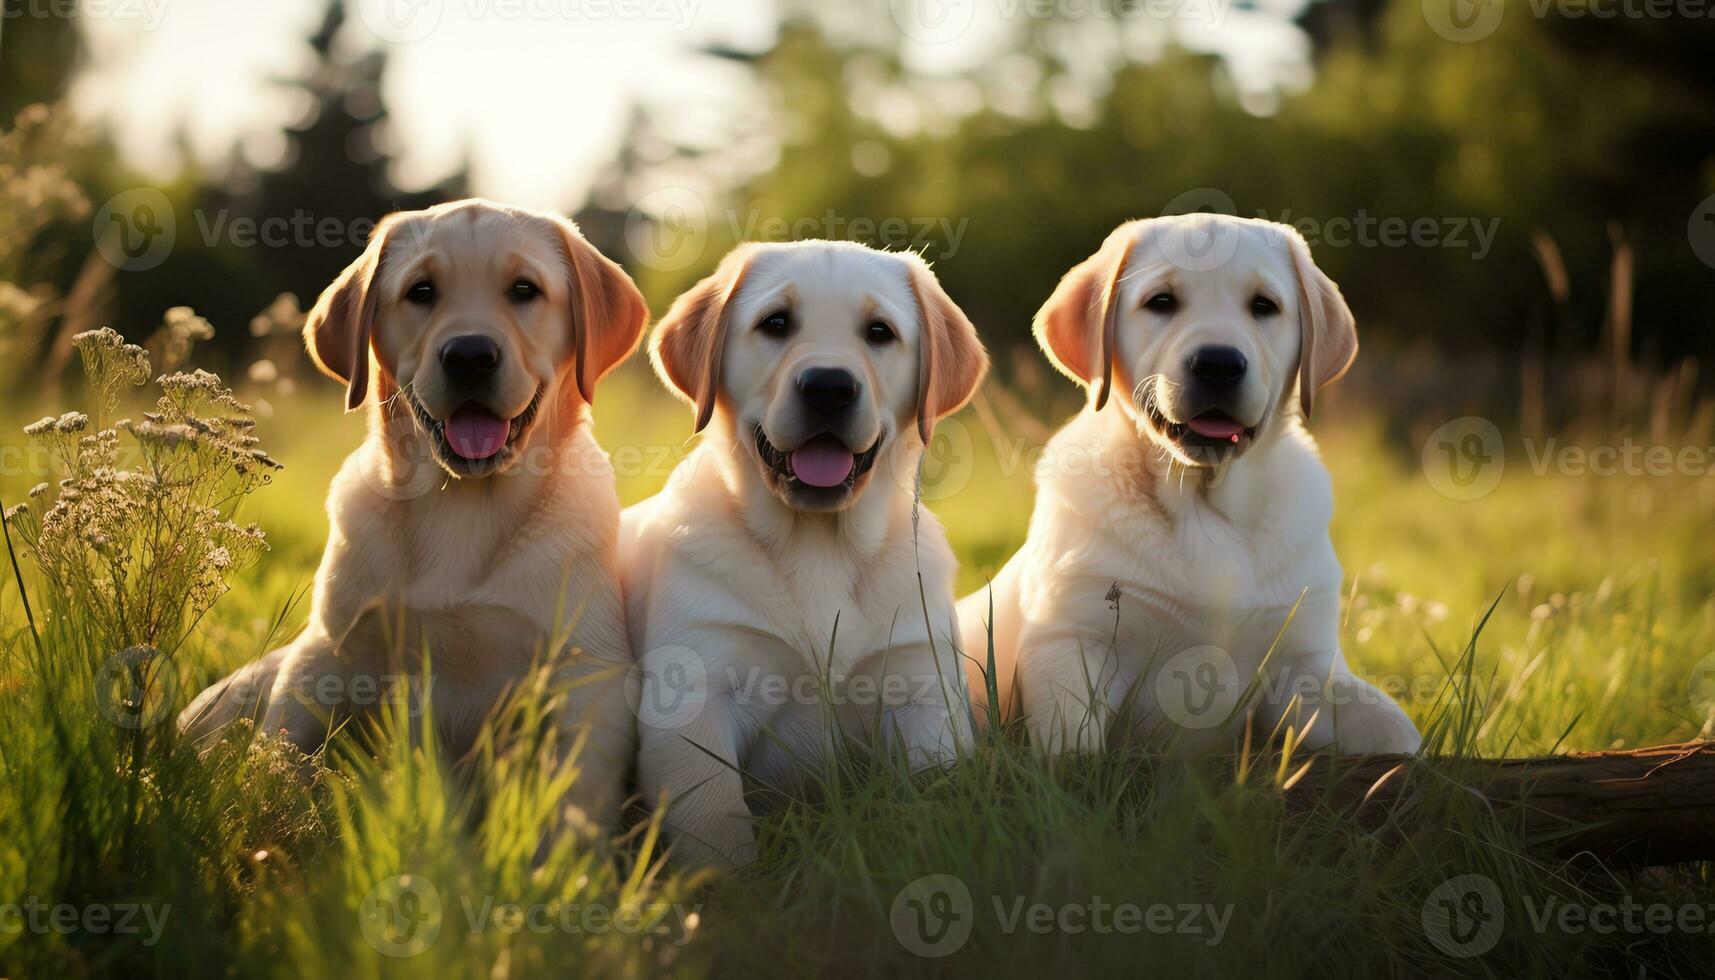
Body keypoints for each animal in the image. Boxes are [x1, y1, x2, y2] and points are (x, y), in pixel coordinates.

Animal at [179, 199, 648, 827]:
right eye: (421, 291)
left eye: (524, 289)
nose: (470, 355)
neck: (462, 504)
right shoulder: (325, 654)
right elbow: (278, 763)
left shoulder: (588, 676)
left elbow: (572, 802)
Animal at [624, 243, 987, 865]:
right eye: (776, 323)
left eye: (879, 332)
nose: (828, 386)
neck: (821, 544)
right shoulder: (693, 696)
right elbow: (714, 816)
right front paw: (729, 882)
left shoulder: (924, 690)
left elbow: (939, 792)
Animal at [967, 216, 1420, 758]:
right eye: (1161, 301)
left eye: (1264, 306)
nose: (1219, 364)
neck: (1205, 500)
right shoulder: (1072, 640)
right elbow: (1073, 747)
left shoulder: (1307, 666)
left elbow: (1394, 731)